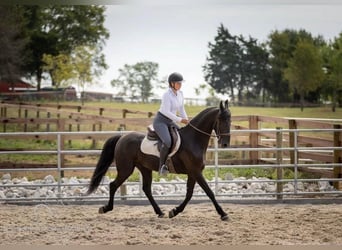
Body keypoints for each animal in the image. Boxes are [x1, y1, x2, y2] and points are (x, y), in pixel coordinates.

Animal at [87, 99, 231, 221]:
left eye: (230, 120)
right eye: (221, 119)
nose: (225, 144)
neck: (193, 140)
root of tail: (122, 138)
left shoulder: (193, 173)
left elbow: (189, 194)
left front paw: (174, 211)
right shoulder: (196, 172)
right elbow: (209, 192)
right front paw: (223, 214)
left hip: (144, 168)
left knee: (146, 189)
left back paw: (160, 212)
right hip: (125, 169)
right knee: (113, 185)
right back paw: (106, 208)